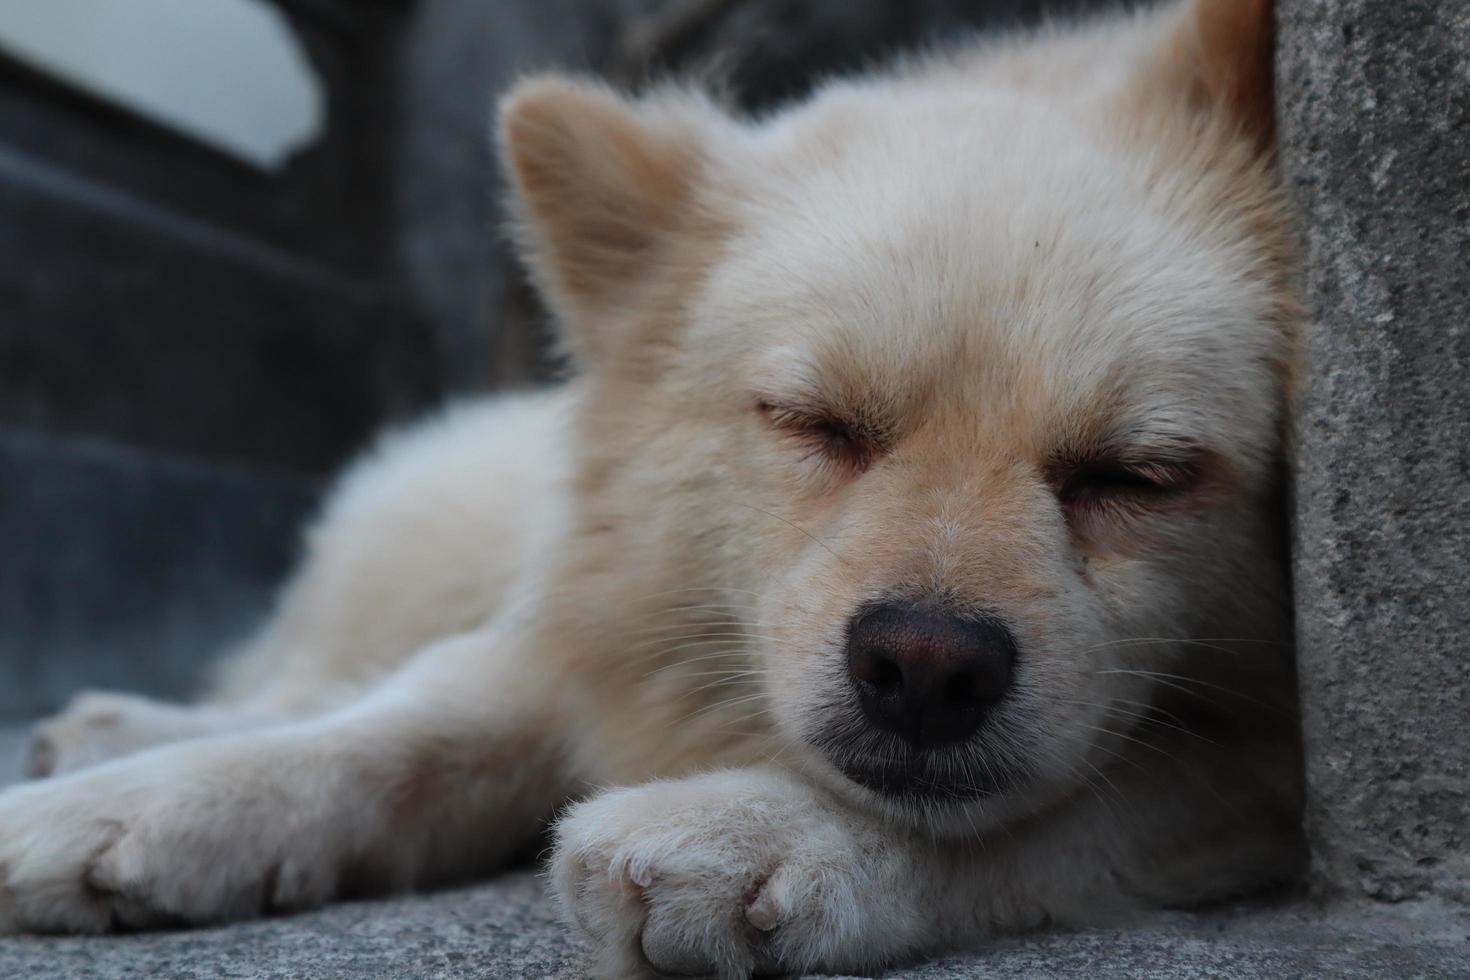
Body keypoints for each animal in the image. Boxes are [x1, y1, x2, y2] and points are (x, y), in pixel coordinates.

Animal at [5, 3, 1305, 975]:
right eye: (815, 424)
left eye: (1139, 476)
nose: (925, 666)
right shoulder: (573, 627)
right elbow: (389, 729)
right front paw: (149, 805)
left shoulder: (1259, 764)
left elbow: (1076, 802)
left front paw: (758, 828)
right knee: (312, 676)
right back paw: (119, 734)